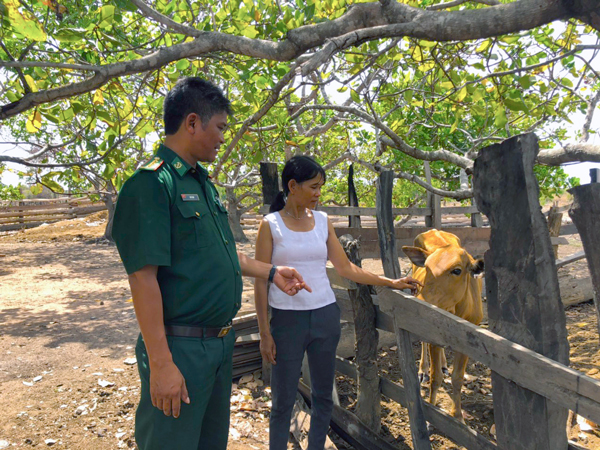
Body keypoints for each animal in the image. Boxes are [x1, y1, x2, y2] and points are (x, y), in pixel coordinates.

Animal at [400, 230, 486, 424]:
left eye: (457, 270)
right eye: (426, 267)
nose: (420, 300)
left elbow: (458, 379)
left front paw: (458, 417)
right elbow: (435, 377)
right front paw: (431, 412)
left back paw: (445, 364)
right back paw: (423, 369)